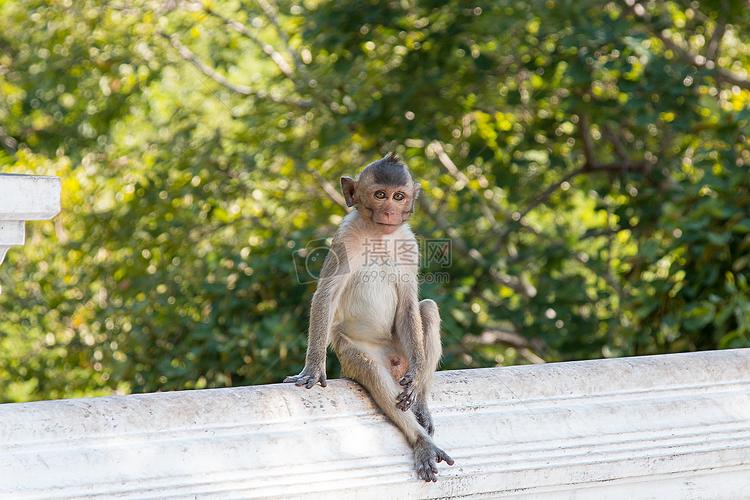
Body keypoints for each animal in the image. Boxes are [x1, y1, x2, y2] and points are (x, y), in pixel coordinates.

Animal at [284, 151, 456, 480]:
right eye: (380, 195)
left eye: (399, 196)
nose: (390, 211)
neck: (379, 234)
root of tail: (395, 363)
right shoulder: (344, 238)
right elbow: (326, 295)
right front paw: (312, 368)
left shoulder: (409, 244)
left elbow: (409, 303)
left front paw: (418, 379)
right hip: (352, 350)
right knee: (373, 372)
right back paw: (421, 441)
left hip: (403, 348)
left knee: (427, 310)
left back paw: (420, 402)